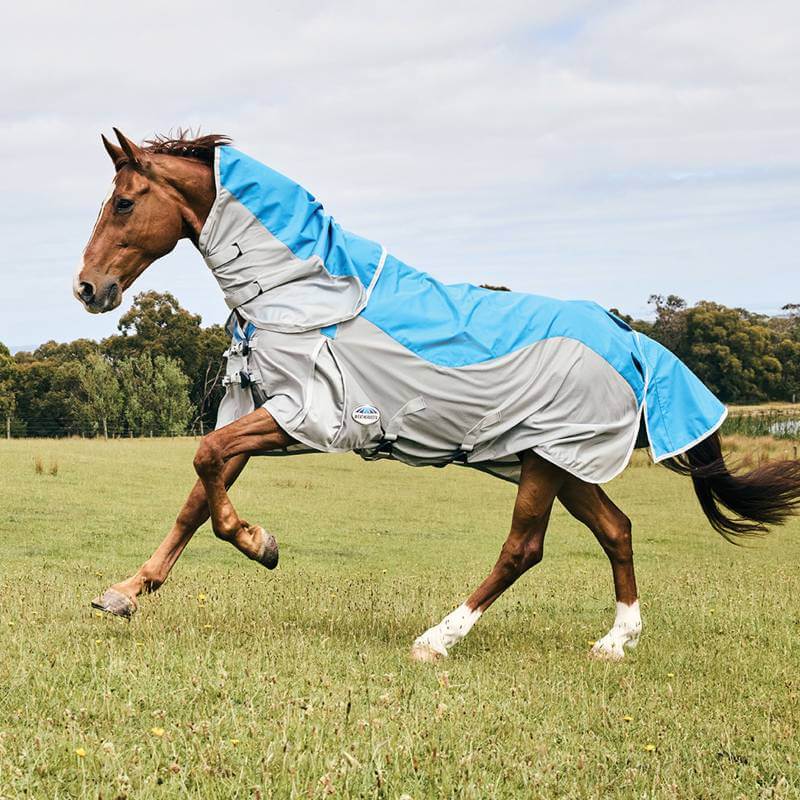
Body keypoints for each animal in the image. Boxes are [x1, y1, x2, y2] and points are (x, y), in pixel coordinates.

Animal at [75, 129, 800, 662]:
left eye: (124, 202)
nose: (87, 288)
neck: (306, 292)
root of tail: (630, 340)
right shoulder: (264, 412)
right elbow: (197, 497)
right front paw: (126, 593)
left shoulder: (304, 419)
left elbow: (205, 465)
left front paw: (261, 544)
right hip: (564, 462)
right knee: (617, 530)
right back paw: (616, 642)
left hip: (546, 462)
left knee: (523, 549)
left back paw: (437, 639)